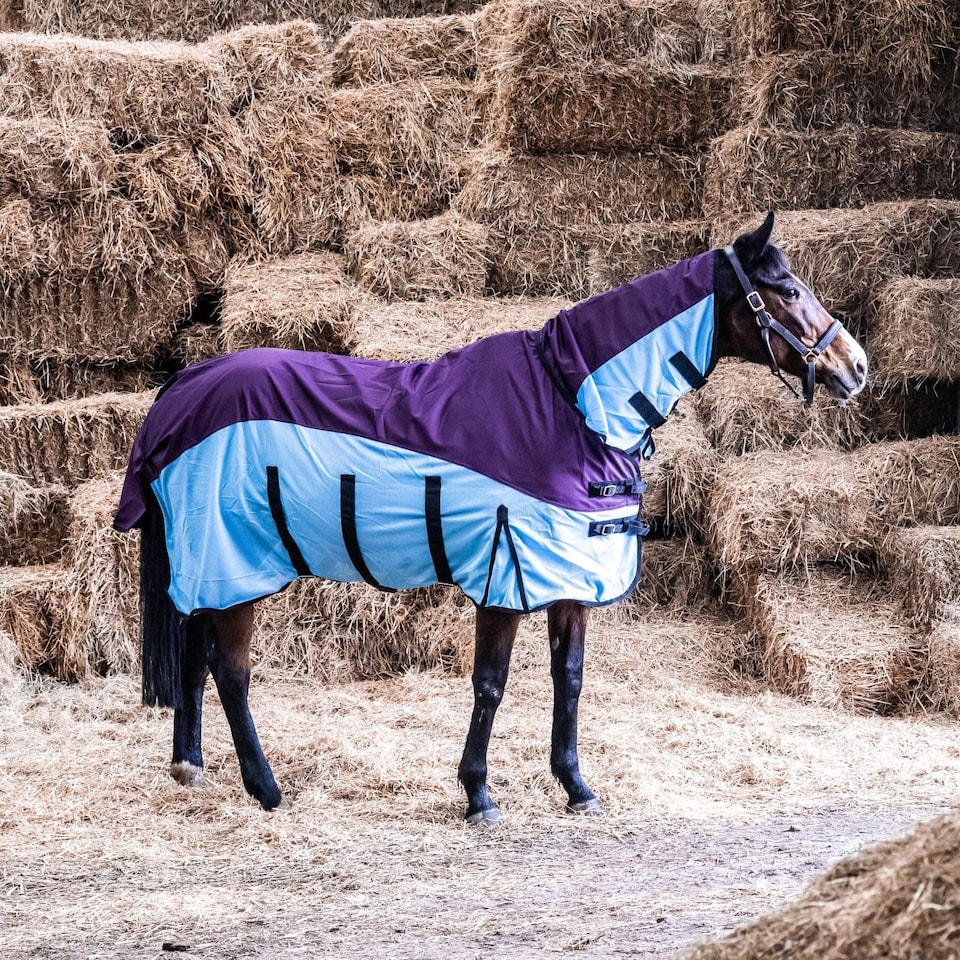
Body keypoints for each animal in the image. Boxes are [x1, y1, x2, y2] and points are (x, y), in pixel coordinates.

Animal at [114, 212, 868, 823]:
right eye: (787, 290)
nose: (856, 366)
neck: (568, 404)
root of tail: (180, 391)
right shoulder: (506, 573)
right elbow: (491, 683)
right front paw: (478, 793)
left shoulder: (571, 577)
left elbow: (569, 680)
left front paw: (576, 786)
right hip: (235, 560)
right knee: (232, 671)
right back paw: (266, 788)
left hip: (209, 562)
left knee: (194, 654)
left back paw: (192, 769)